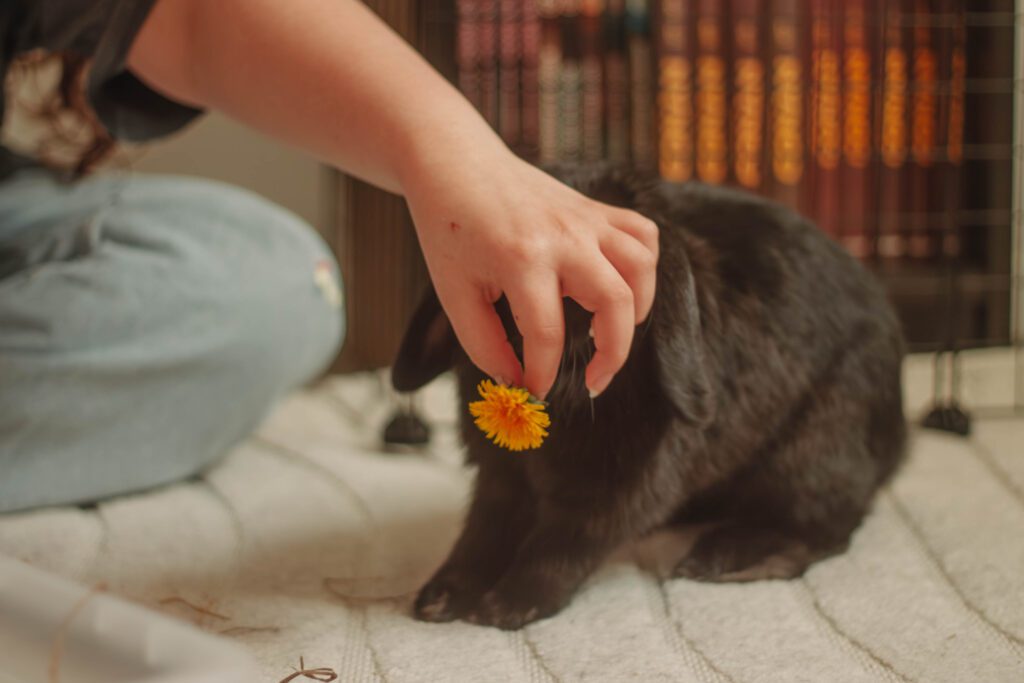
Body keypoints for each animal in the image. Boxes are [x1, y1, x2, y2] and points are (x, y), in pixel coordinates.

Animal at [390, 164, 907, 631]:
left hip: (814, 446)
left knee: (825, 528)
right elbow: (483, 533)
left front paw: (509, 605)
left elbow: (563, 543)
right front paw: (443, 595)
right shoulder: (500, 478)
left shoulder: (622, 488)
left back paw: (725, 559)